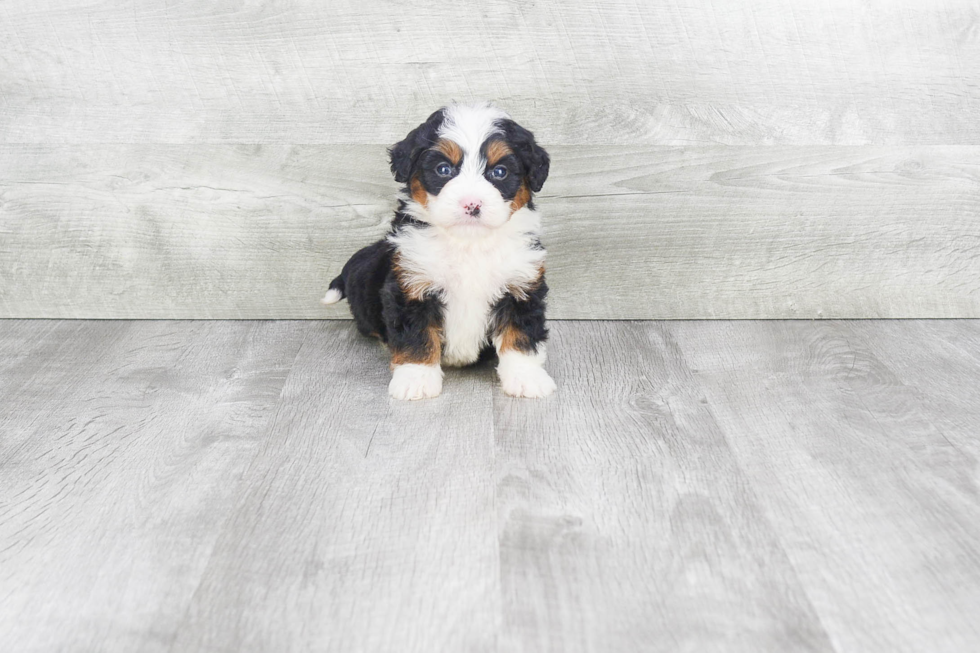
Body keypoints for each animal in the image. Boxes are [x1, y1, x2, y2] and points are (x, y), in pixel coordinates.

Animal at [322, 102, 552, 400]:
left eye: (499, 172)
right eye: (444, 169)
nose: (471, 204)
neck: (468, 243)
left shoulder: (521, 285)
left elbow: (521, 334)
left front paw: (526, 378)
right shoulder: (411, 285)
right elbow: (416, 336)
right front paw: (415, 379)